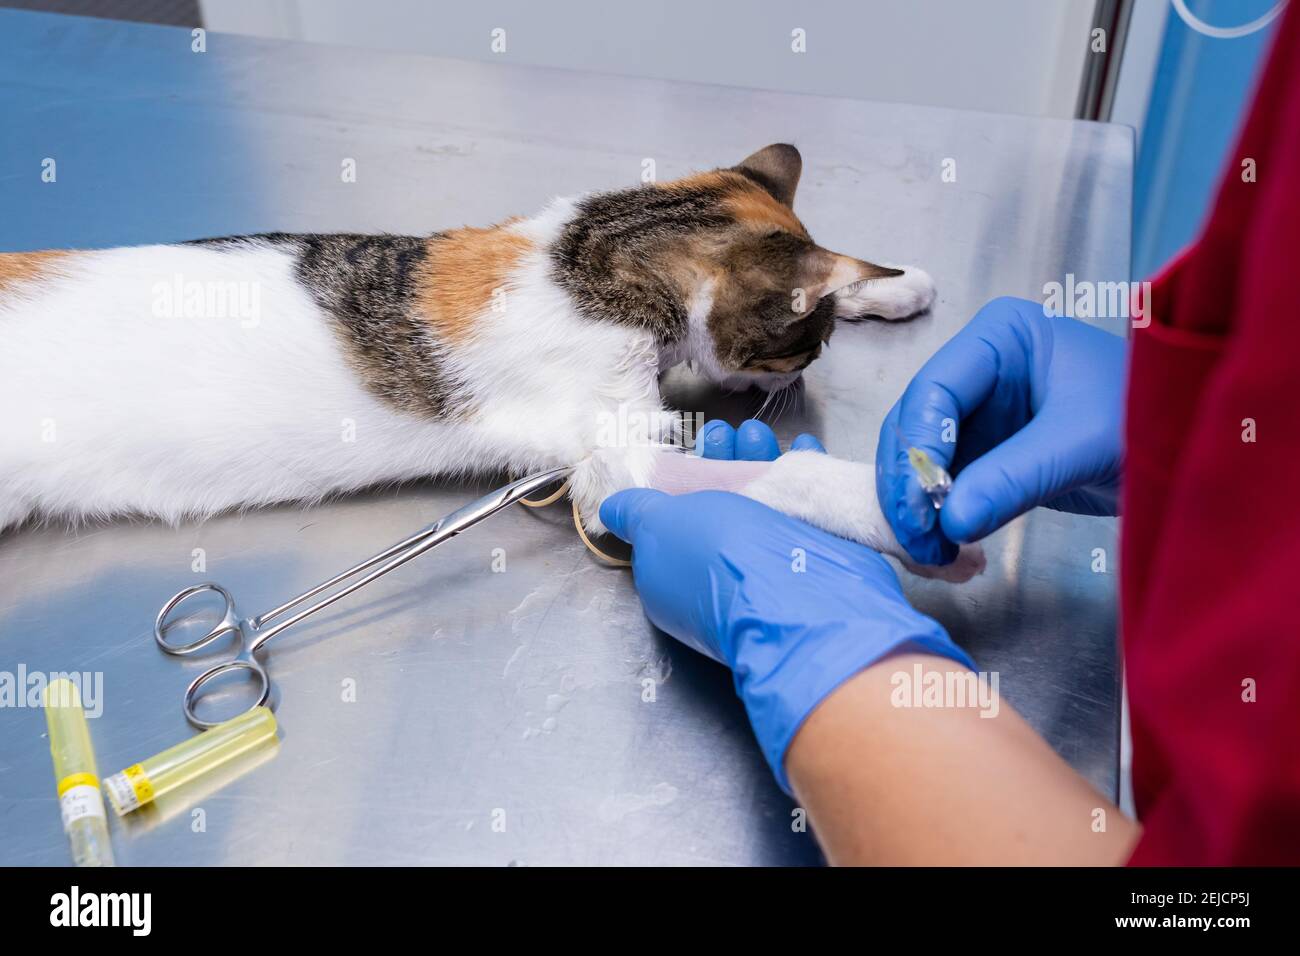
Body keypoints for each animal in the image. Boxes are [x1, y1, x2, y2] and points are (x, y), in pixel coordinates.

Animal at [0, 145, 977, 582]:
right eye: (806, 345)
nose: (798, 382)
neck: (592, 253)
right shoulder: (616, 456)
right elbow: (777, 483)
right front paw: (893, 506)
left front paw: (898, 284)